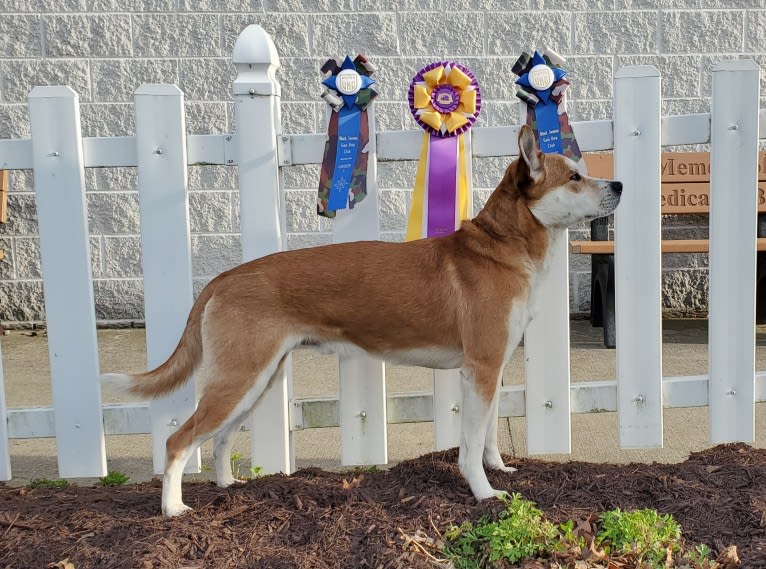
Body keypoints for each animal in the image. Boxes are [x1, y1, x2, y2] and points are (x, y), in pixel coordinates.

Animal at [103, 124, 624, 516]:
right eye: (574, 177)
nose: (618, 184)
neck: (499, 248)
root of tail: (224, 277)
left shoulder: (489, 369)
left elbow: (490, 434)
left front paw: (499, 469)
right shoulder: (481, 367)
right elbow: (470, 446)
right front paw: (484, 491)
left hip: (256, 380)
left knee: (219, 439)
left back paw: (228, 486)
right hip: (239, 378)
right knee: (178, 440)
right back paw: (173, 509)